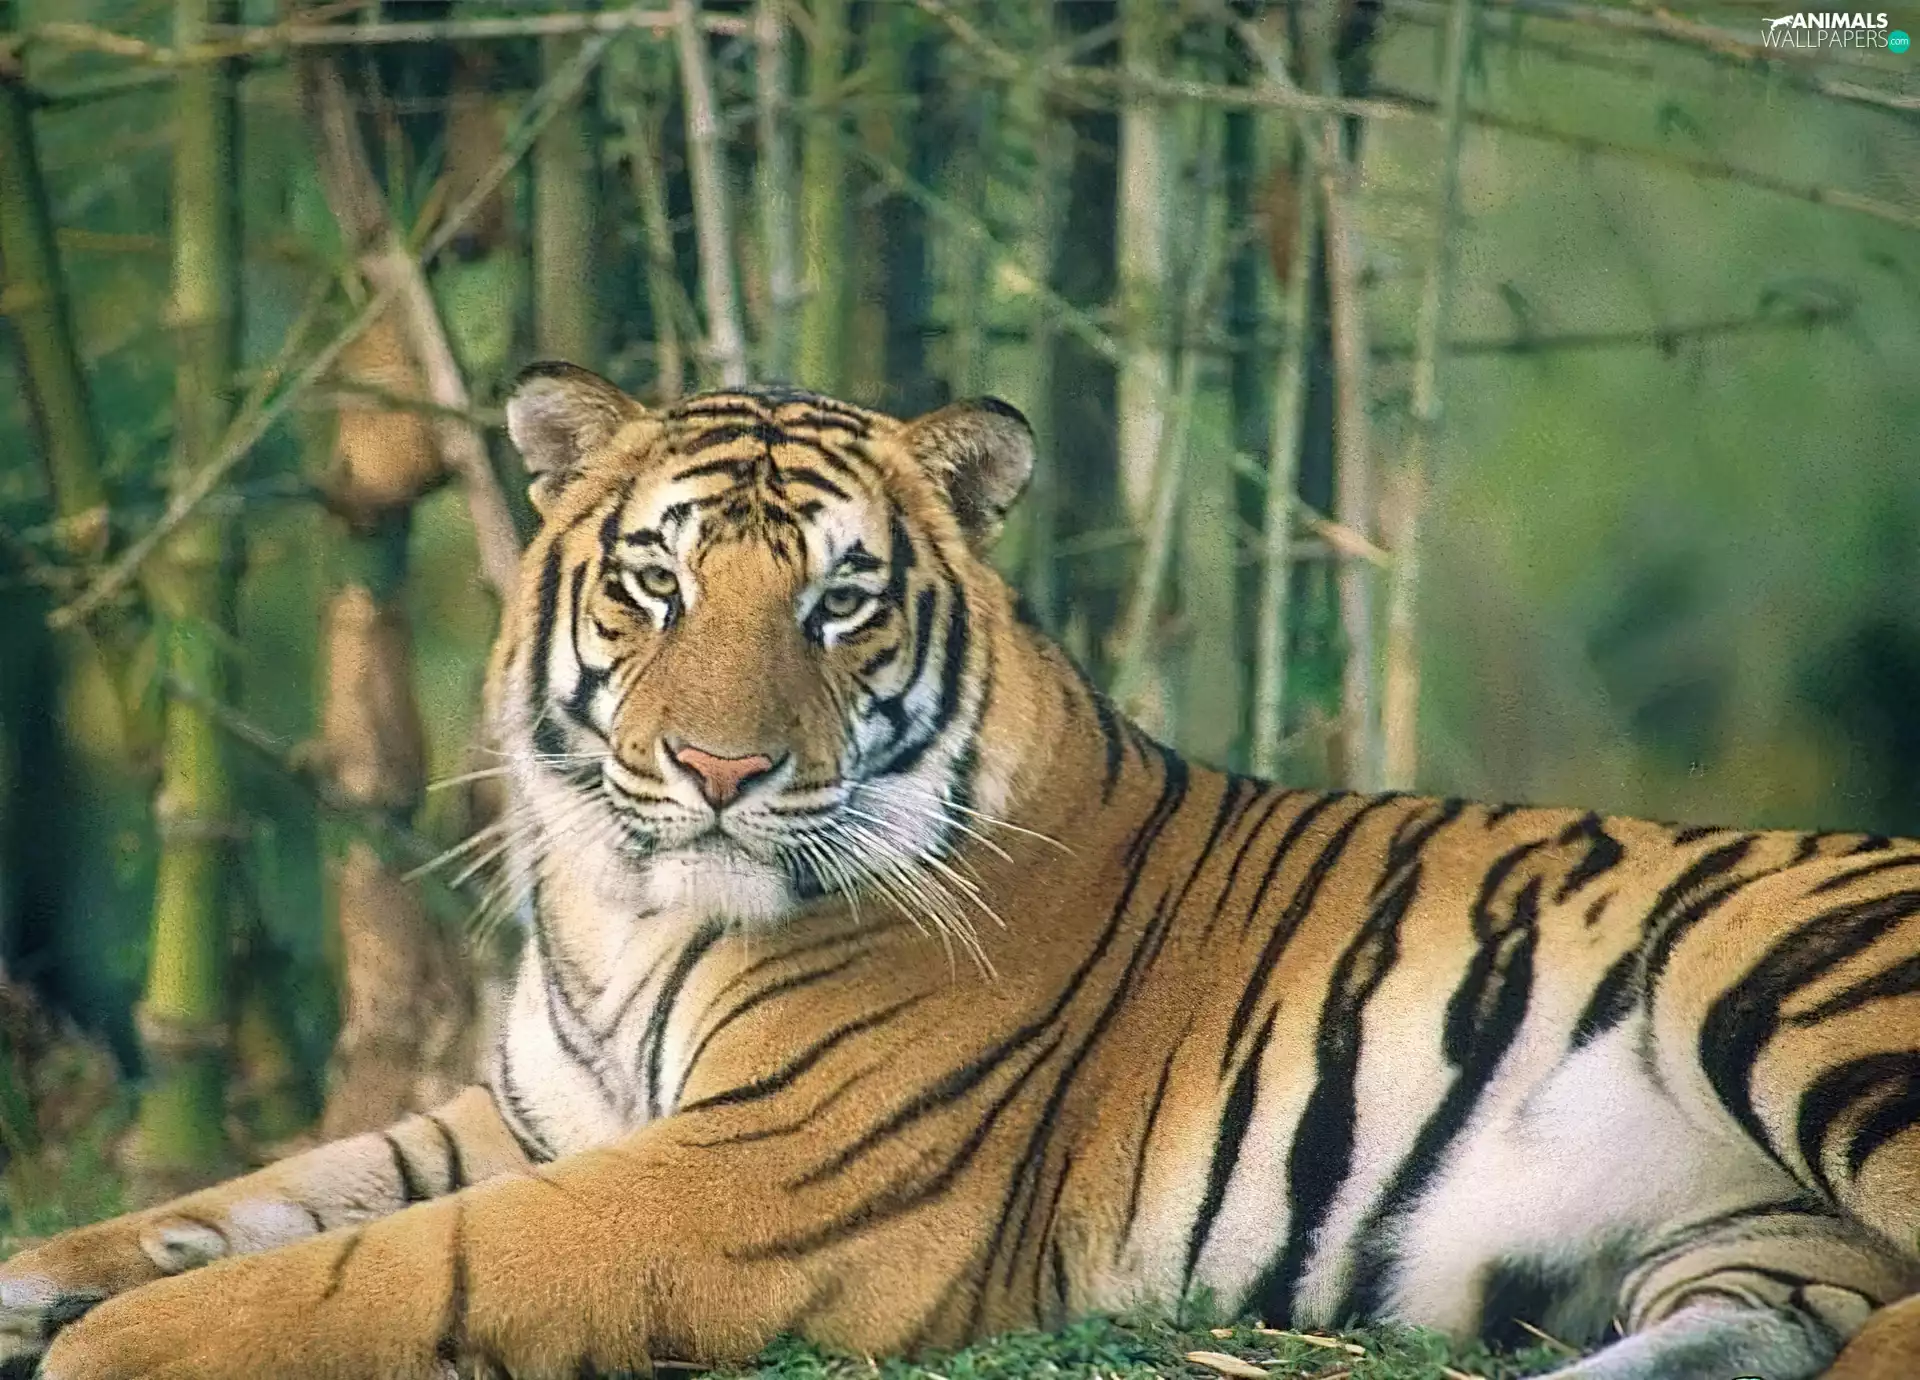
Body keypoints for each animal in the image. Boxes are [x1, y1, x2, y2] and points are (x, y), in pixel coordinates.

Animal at [5, 361, 1920, 1380]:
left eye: (837, 601)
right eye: (656, 583)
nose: (718, 772)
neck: (625, 912)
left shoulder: (766, 1173)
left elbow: (390, 1266)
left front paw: (111, 1349)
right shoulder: (532, 1113)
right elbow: (270, 1193)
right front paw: (47, 1280)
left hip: (1801, 1000)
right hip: (1745, 1256)